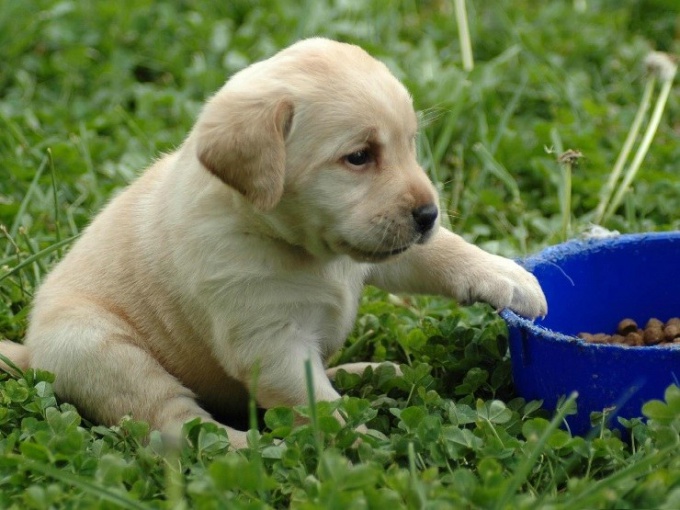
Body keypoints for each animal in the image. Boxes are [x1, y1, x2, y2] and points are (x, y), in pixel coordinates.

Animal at [0, 37, 544, 448]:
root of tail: (31, 354)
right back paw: (245, 447)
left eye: (410, 144)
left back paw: (370, 369)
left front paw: (509, 277)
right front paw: (360, 443)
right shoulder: (270, 340)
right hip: (99, 347)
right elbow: (317, 406)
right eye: (359, 156)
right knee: (176, 425)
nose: (429, 214)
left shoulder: (381, 251)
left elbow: (441, 251)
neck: (302, 248)